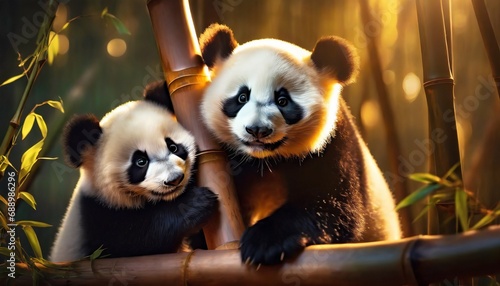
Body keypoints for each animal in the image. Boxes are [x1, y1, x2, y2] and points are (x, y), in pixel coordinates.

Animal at [49, 81, 219, 262]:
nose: (174, 179)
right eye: (140, 162)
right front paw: (194, 204)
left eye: (173, 147)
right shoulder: (95, 217)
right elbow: (135, 239)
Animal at [197, 23, 400, 264]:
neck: (265, 161)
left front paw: (264, 243)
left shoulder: (333, 145)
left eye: (283, 101)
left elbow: (333, 205)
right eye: (242, 97)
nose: (257, 130)